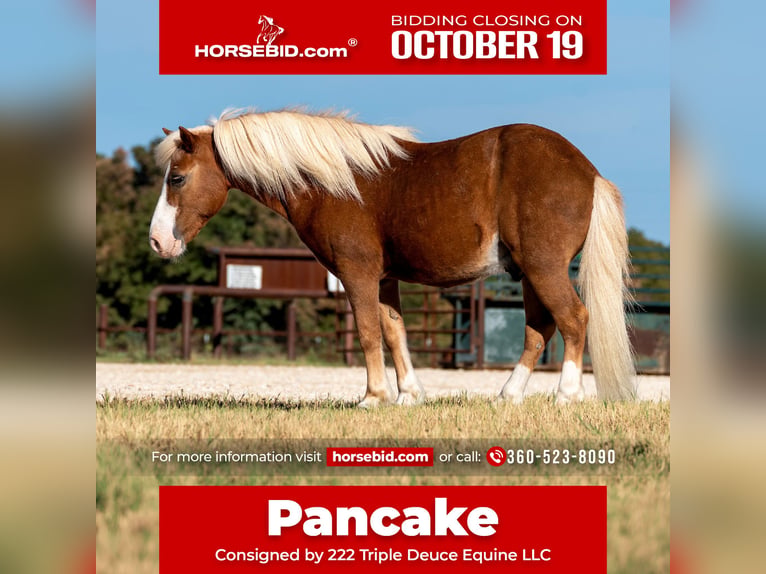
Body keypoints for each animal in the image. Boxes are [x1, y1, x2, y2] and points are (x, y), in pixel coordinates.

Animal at [149, 109, 635, 407]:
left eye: (177, 178)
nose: (157, 242)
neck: (333, 181)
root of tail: (587, 171)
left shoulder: (357, 274)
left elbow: (367, 333)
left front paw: (372, 396)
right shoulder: (384, 279)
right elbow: (394, 331)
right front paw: (408, 395)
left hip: (543, 267)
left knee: (573, 319)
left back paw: (566, 394)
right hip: (529, 273)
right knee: (540, 327)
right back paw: (509, 394)